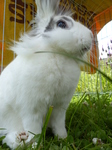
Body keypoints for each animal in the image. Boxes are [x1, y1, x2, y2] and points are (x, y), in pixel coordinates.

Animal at [0, 0, 93, 148]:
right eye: (61, 24)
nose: (91, 35)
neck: (58, 53)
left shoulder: (60, 108)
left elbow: (59, 126)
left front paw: (64, 140)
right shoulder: (32, 109)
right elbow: (34, 130)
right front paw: (37, 146)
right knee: (8, 139)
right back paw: (21, 137)